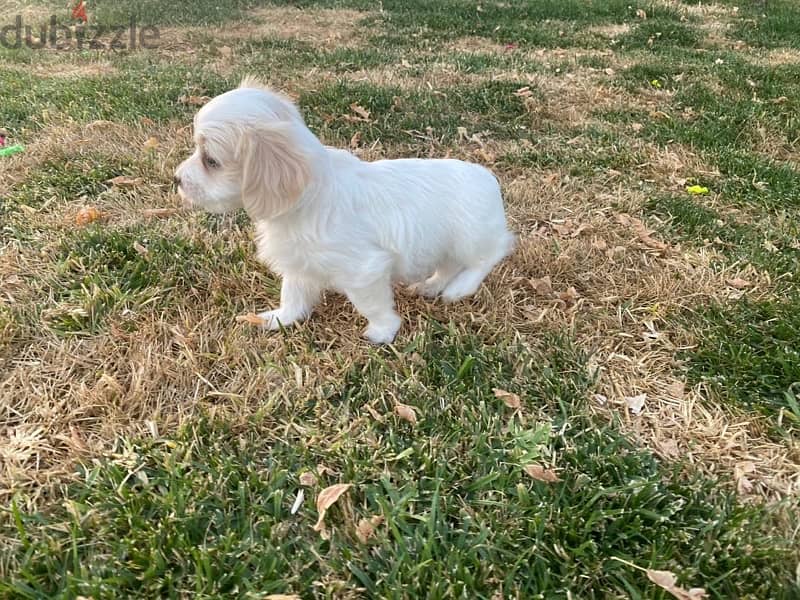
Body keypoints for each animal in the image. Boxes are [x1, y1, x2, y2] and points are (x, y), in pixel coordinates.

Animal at [175, 77, 516, 344]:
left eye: (211, 161)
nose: (176, 179)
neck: (308, 198)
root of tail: (488, 178)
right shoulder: (299, 265)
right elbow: (293, 296)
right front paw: (278, 319)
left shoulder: (364, 270)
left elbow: (372, 305)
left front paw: (383, 331)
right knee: (448, 265)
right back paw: (431, 286)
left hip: (472, 237)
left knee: (492, 253)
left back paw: (460, 288)